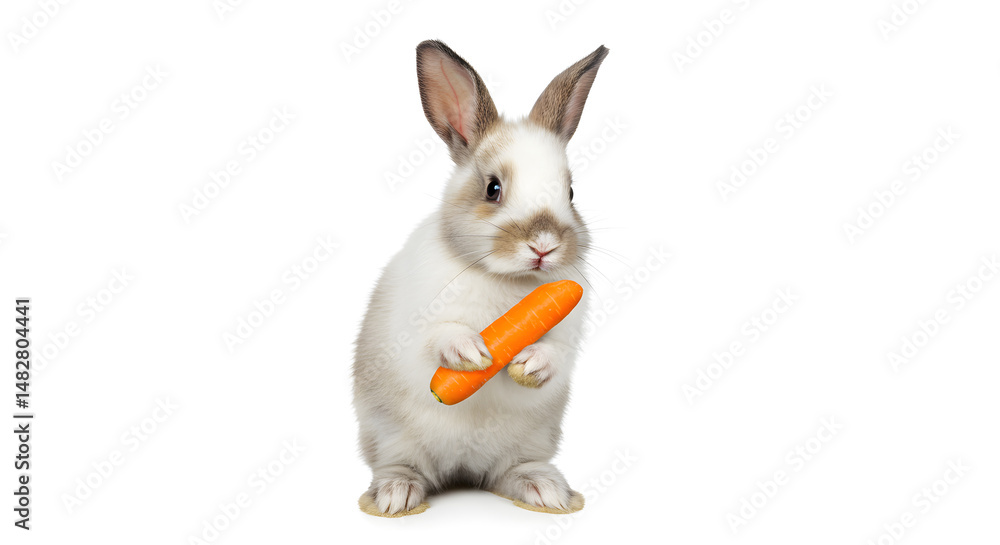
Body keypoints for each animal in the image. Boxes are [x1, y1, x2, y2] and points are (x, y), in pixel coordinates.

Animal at [352, 39, 609, 517]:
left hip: (531, 441)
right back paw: (396, 496)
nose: (544, 245)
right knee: (401, 465)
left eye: (570, 192)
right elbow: (437, 337)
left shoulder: (567, 334)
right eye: (493, 189)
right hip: (390, 437)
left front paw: (532, 362)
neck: (509, 280)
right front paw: (472, 353)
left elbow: (557, 354)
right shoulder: (417, 325)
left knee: (509, 470)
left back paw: (546, 491)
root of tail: (462, 468)